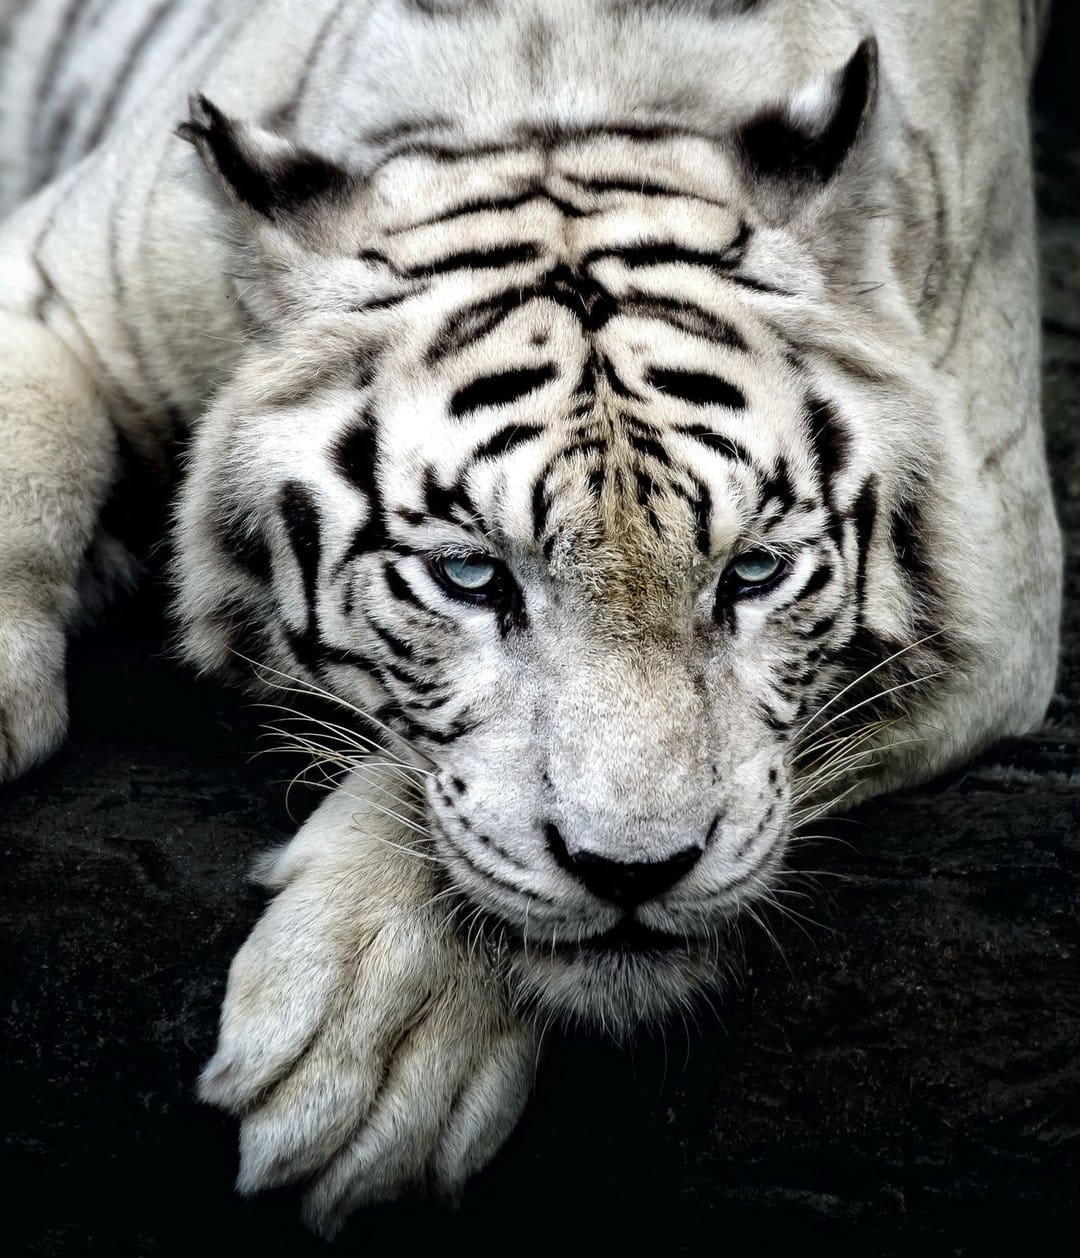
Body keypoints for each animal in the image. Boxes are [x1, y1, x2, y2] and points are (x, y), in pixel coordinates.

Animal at [0, 0, 1062, 1238]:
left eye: (751, 573)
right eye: (469, 575)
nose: (636, 875)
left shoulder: (1000, 587)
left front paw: (369, 1044)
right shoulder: (65, 276)